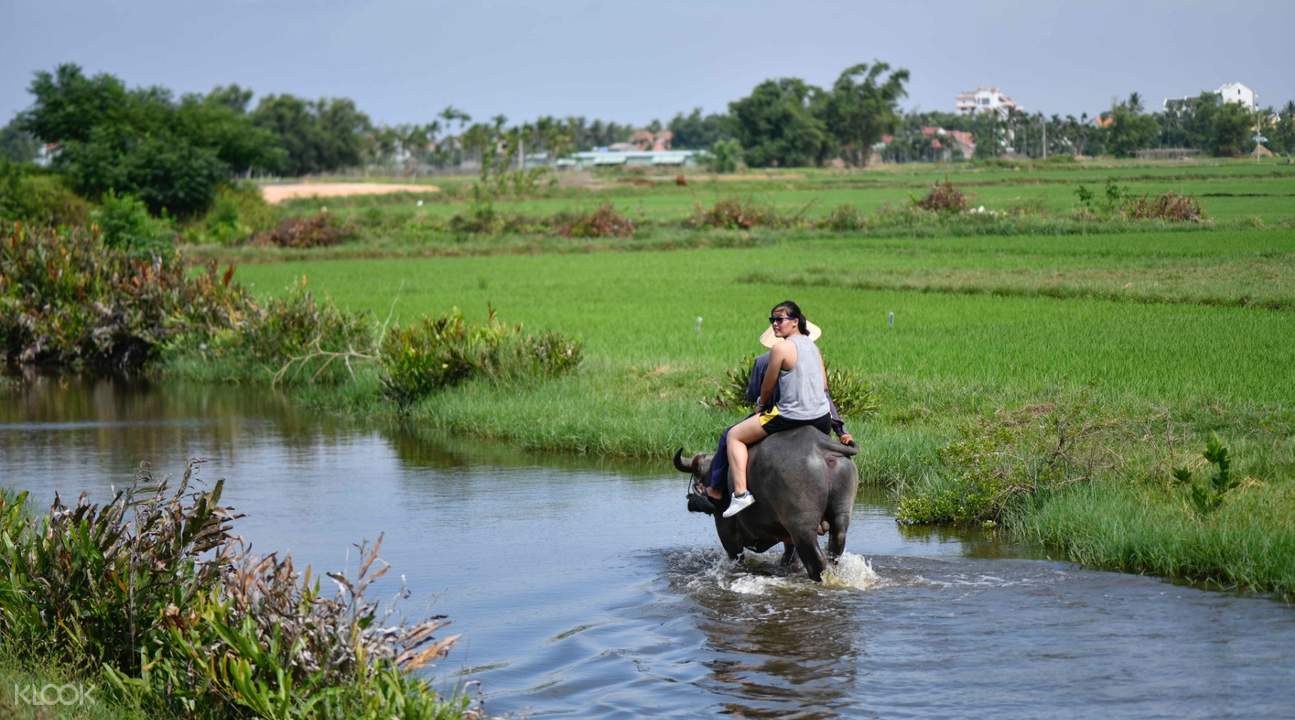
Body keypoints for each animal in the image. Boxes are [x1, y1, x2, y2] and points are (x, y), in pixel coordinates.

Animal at [678, 424, 859, 582]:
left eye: (698, 476)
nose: (690, 502)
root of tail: (820, 445)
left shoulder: (725, 529)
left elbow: (735, 555)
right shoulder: (786, 534)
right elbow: (789, 555)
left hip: (802, 527)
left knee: (817, 560)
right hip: (840, 513)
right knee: (835, 546)